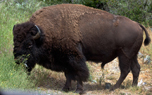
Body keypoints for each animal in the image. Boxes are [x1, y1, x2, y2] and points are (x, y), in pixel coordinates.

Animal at [13, 3, 151, 94]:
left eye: (29, 44)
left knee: (125, 70)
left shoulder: (75, 58)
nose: (18, 60)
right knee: (136, 68)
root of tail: (137, 24)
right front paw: (65, 88)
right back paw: (133, 86)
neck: (45, 34)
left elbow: (79, 73)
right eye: (15, 41)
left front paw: (78, 90)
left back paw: (114, 88)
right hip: (132, 55)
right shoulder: (65, 60)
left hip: (124, 55)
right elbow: (68, 74)